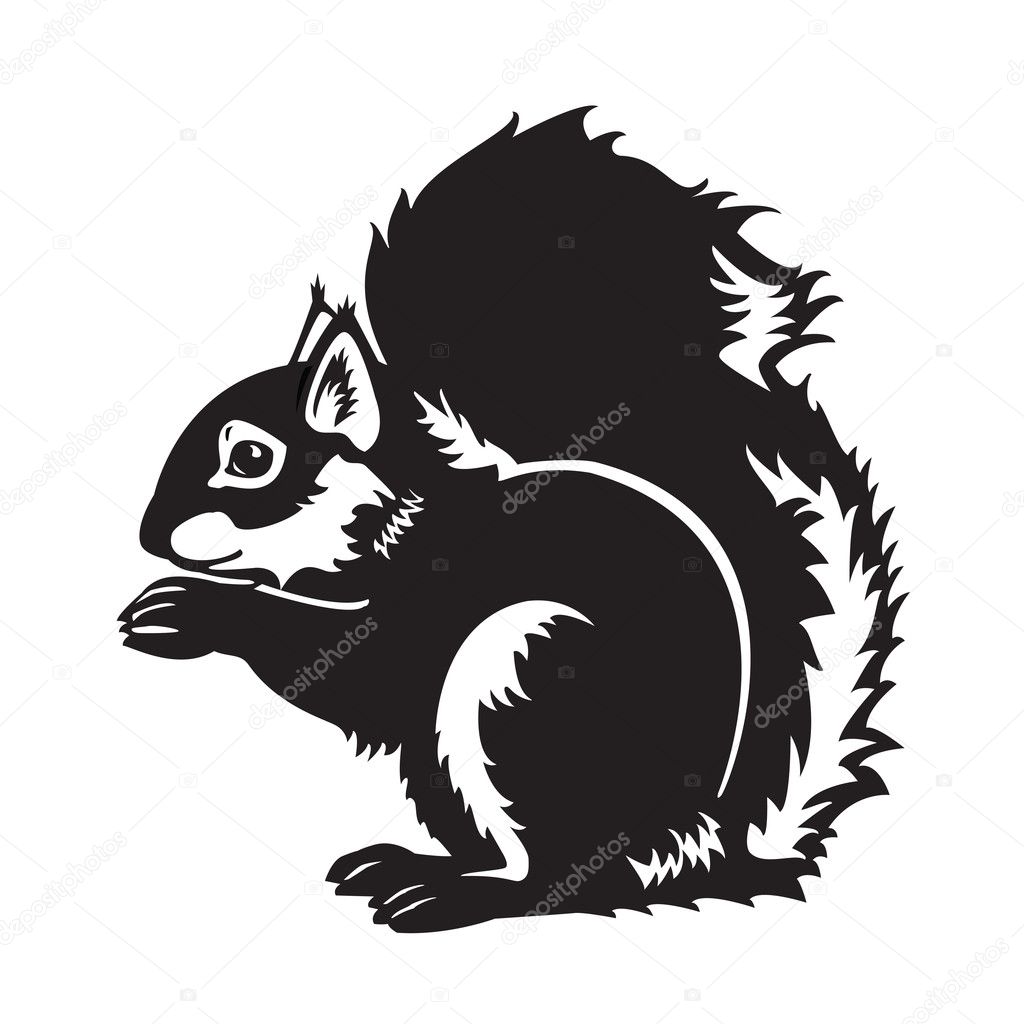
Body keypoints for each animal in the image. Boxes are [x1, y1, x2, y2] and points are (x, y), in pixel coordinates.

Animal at [119, 108, 902, 933]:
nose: (149, 536)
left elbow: (343, 662)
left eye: (250, 459)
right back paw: (413, 867)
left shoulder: (425, 602)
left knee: (568, 879)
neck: (396, 518)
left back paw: (454, 894)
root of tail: (706, 841)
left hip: (530, 686)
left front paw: (190, 612)